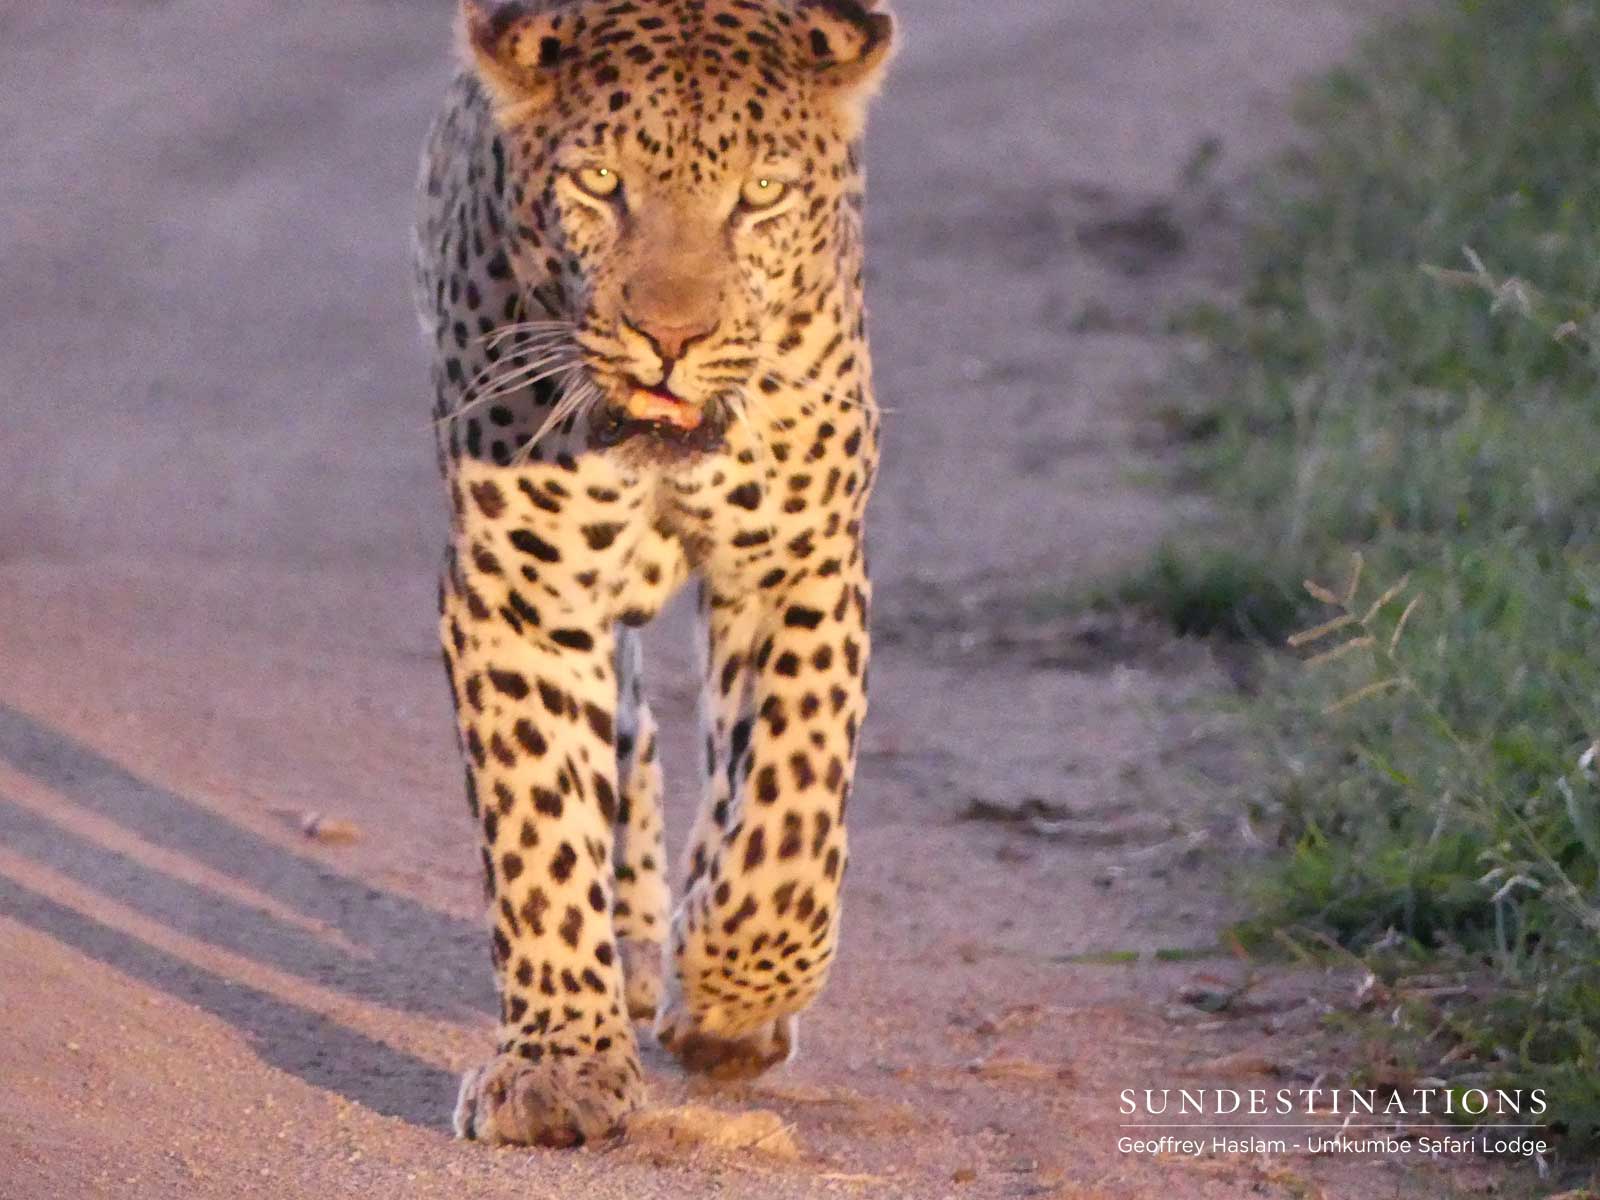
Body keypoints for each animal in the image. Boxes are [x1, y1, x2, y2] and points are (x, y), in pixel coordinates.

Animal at [411, 0, 894, 1148]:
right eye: (599, 183)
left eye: (759, 194)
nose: (670, 337)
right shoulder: (522, 593)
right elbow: (540, 830)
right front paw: (561, 1068)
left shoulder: (800, 563)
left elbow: (789, 805)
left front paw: (733, 993)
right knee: (628, 731)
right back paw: (631, 947)